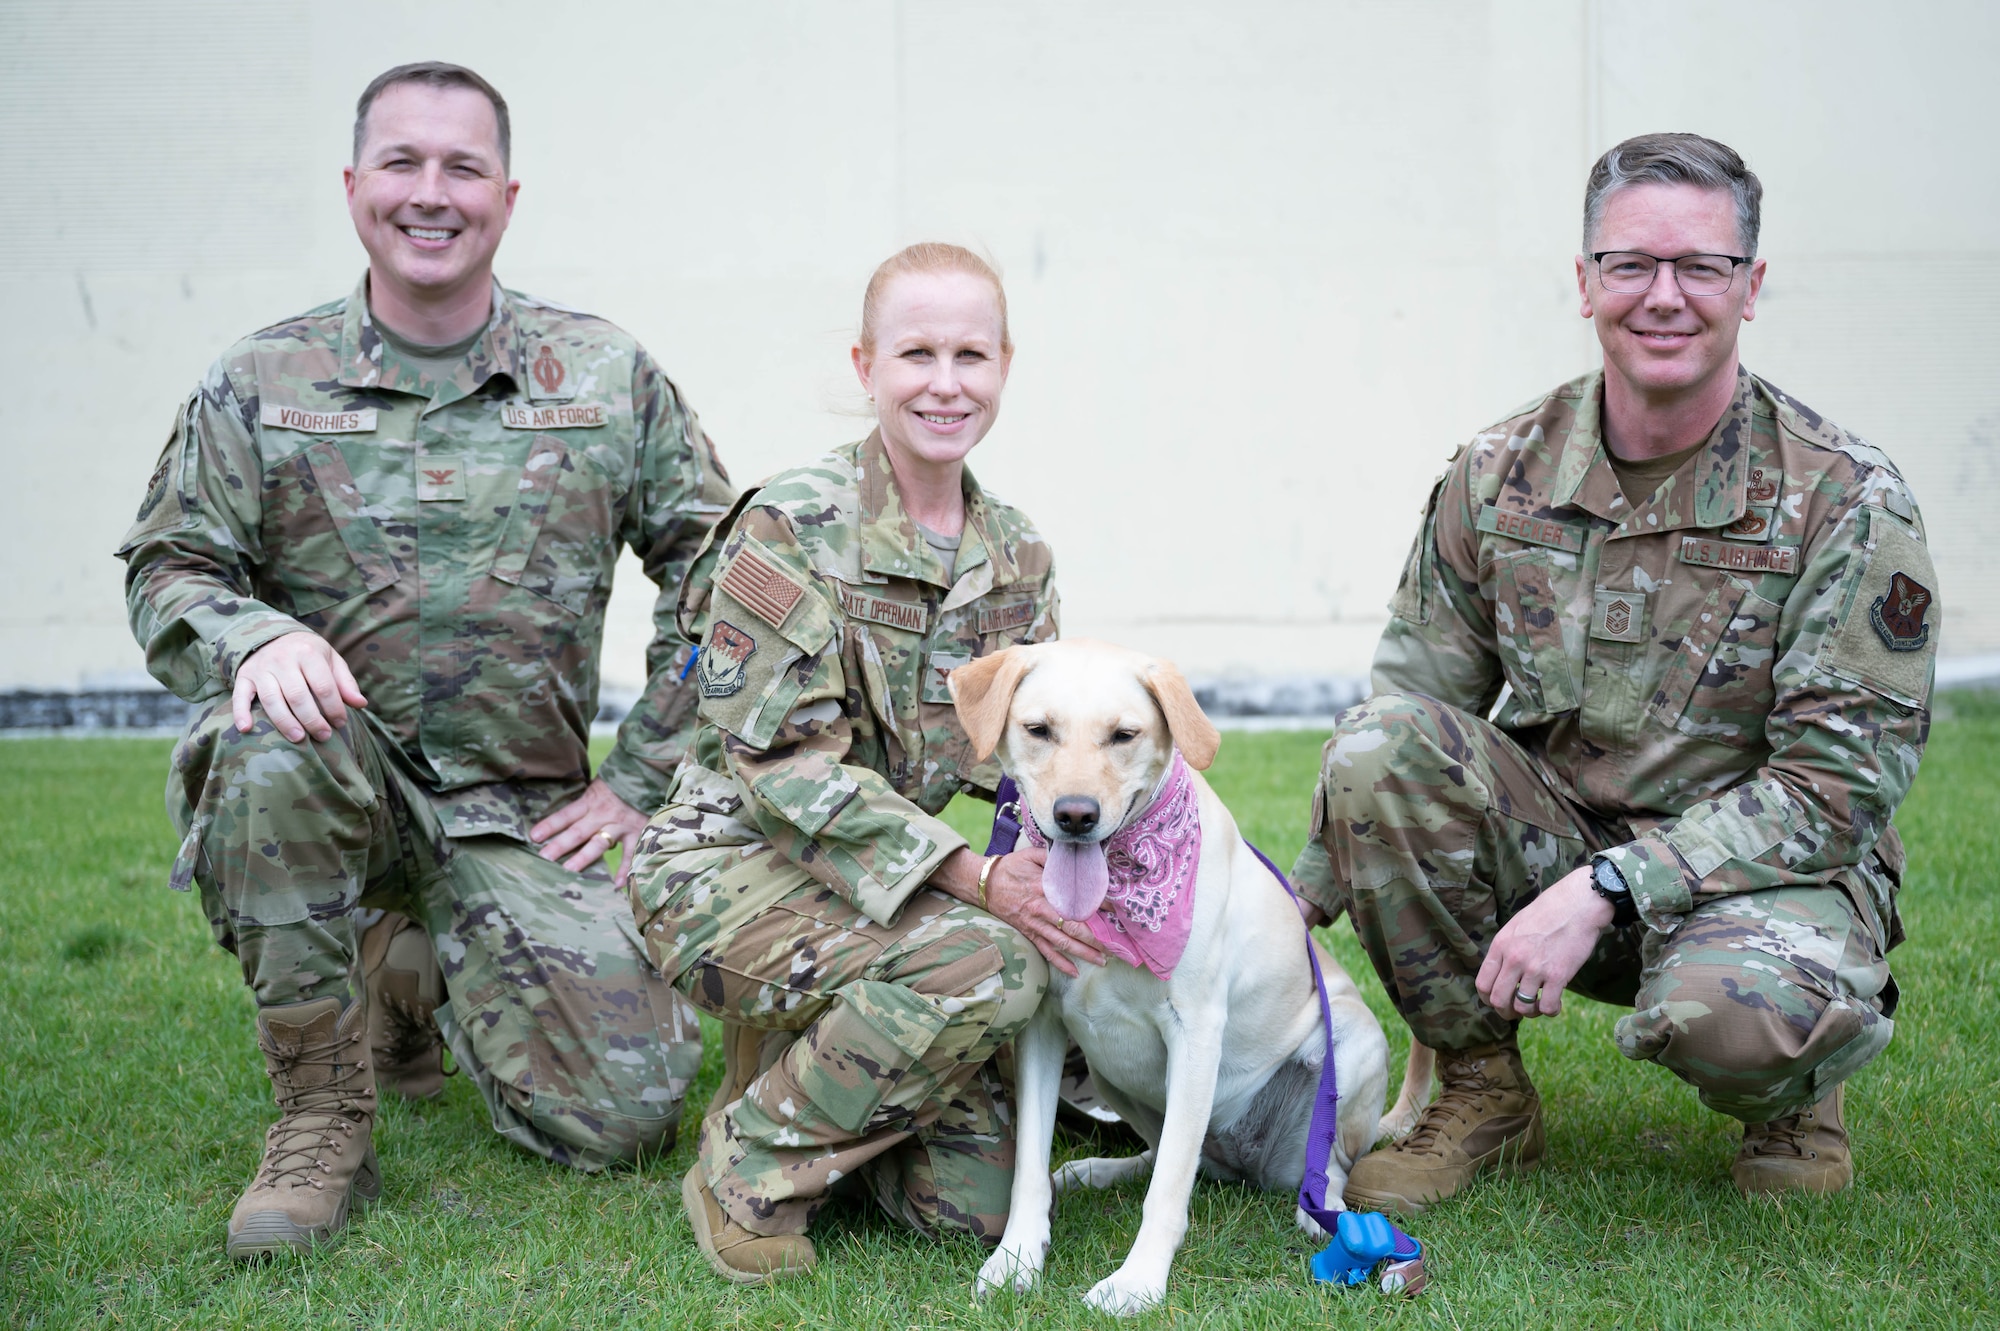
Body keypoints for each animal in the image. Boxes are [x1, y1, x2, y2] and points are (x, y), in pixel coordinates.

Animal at [960, 639, 1400, 1311]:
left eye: (1124, 735)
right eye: (1038, 730)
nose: (1076, 815)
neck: (1113, 901)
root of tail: (1243, 1161)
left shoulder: (1195, 1031)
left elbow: (1167, 1190)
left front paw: (1137, 1282)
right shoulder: (1043, 1026)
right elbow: (1030, 1168)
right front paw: (1015, 1260)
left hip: (1352, 1042)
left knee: (1325, 1168)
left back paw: (1324, 1212)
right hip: (1111, 1073)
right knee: (1164, 1151)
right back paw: (1100, 1170)